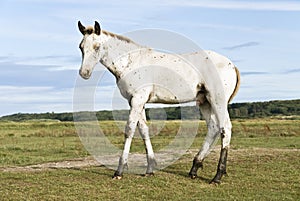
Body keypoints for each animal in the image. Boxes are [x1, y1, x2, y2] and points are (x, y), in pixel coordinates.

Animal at [78, 20, 241, 184]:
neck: (132, 62)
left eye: (97, 47)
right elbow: (143, 130)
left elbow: (129, 130)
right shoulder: (136, 102)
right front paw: (150, 169)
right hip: (205, 102)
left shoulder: (137, 100)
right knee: (213, 128)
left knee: (225, 128)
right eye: (81, 46)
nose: (84, 73)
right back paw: (194, 169)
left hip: (218, 101)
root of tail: (232, 65)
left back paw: (217, 176)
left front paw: (119, 171)